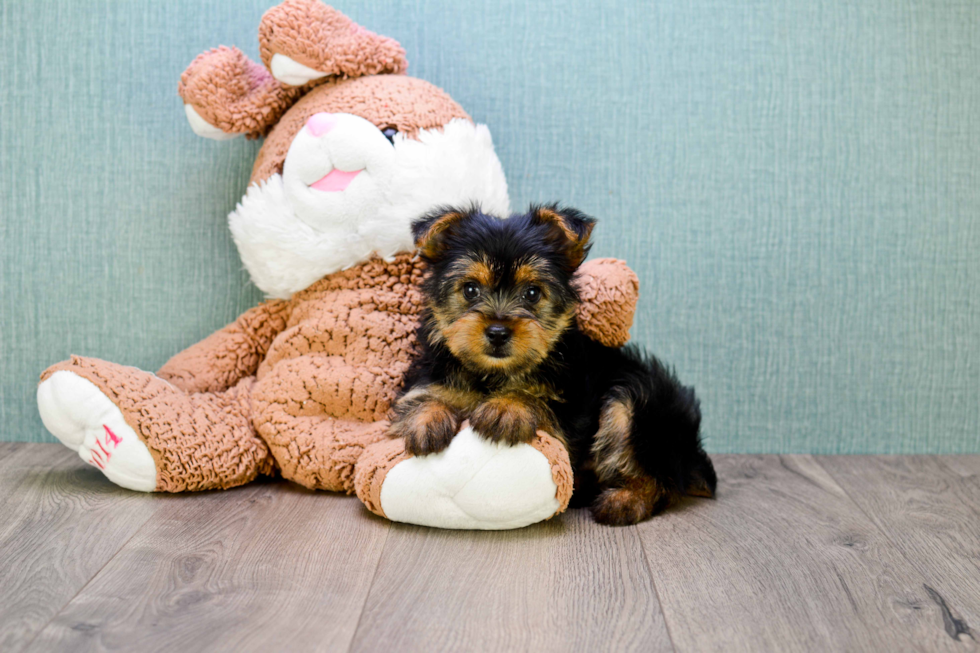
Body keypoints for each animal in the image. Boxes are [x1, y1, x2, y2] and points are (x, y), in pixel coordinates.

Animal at [386, 204, 716, 524]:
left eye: (532, 293)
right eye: (470, 290)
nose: (497, 331)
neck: (494, 374)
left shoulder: (570, 411)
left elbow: (540, 400)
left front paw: (508, 407)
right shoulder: (431, 373)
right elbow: (423, 395)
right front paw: (426, 419)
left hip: (641, 407)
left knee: (660, 476)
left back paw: (624, 501)